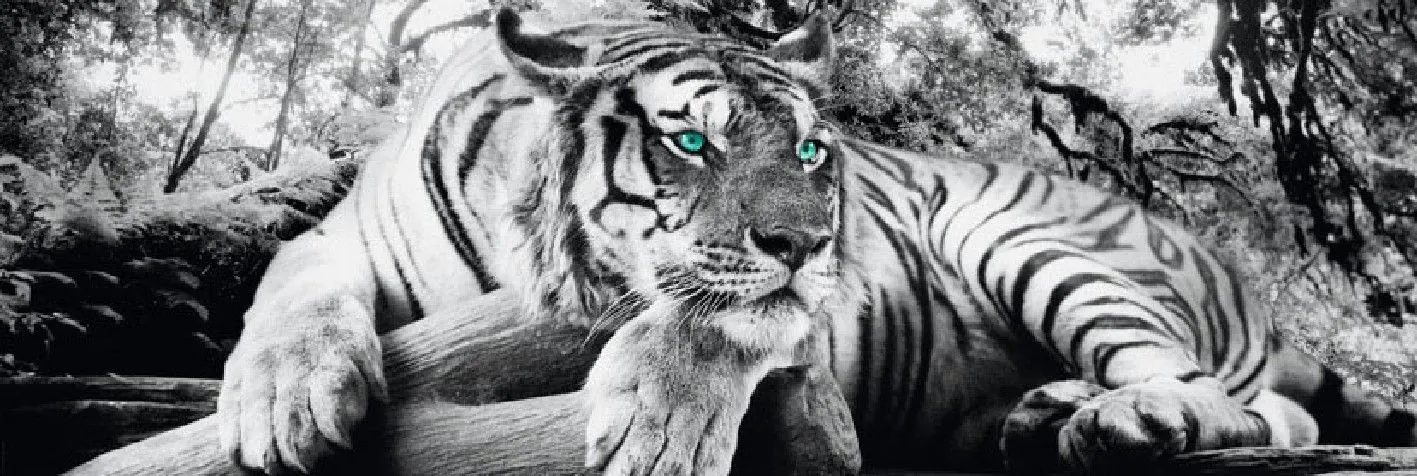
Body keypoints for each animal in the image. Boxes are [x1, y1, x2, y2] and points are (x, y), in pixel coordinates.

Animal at [214, 7, 1417, 475]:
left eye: (806, 149)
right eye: (690, 139)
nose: (805, 238)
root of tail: (1234, 271)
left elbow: (715, 319)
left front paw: (656, 423)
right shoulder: (342, 234)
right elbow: (289, 278)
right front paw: (282, 400)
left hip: (1027, 237)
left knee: (1245, 405)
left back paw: (1125, 417)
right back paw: (1042, 412)